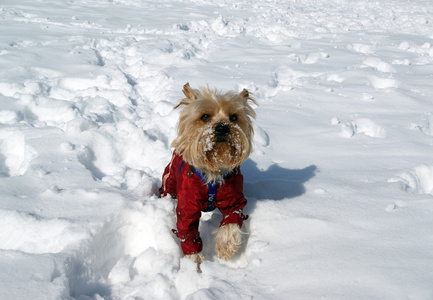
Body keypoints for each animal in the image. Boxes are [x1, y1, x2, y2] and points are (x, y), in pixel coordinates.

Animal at [159, 82, 256, 268]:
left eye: (234, 117)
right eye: (205, 117)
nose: (222, 127)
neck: (213, 172)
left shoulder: (233, 199)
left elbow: (232, 221)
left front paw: (226, 247)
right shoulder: (187, 206)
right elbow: (187, 230)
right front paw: (195, 261)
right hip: (171, 179)